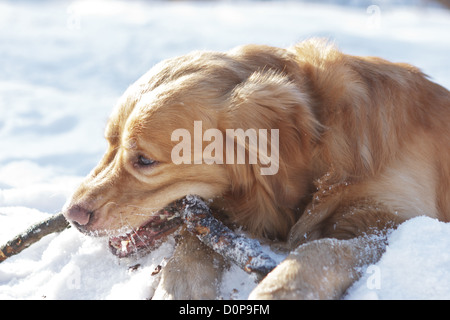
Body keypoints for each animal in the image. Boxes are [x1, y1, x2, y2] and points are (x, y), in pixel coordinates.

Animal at [63, 40, 450, 300]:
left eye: (145, 160)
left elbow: (319, 249)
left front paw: (278, 289)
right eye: (108, 143)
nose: (71, 215)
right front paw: (179, 286)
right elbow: (192, 242)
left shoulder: (389, 222)